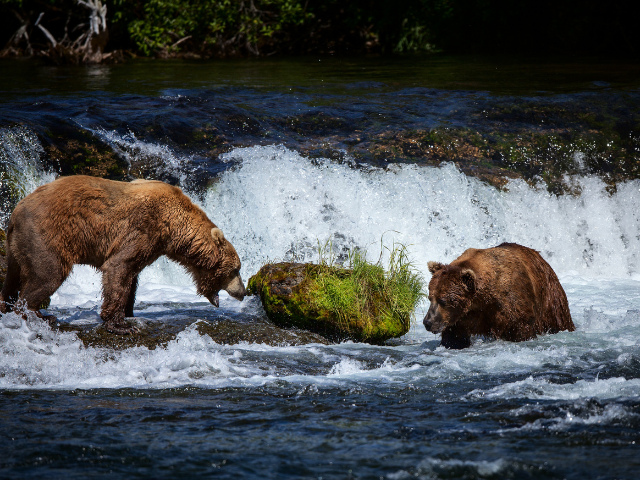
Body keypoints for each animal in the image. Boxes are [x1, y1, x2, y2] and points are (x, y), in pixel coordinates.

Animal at [0, 175, 246, 334]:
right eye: (236, 269)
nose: (243, 292)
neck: (173, 229)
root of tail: (15, 212)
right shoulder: (143, 228)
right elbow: (119, 268)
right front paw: (120, 325)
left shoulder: (151, 243)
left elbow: (132, 275)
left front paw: (130, 313)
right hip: (47, 235)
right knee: (48, 274)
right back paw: (38, 314)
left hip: (16, 248)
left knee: (11, 278)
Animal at [423, 242, 574, 349]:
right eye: (430, 298)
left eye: (443, 300)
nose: (427, 322)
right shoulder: (461, 317)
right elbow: (453, 336)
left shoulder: (512, 305)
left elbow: (520, 329)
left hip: (550, 298)